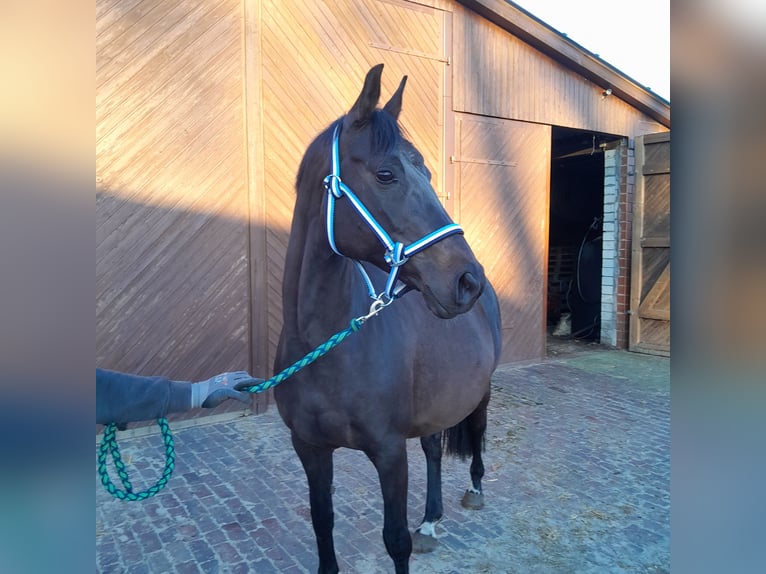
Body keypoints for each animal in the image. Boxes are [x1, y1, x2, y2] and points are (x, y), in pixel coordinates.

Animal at [274, 63, 502, 574]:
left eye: (428, 172)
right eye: (385, 173)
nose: (468, 281)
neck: (325, 345)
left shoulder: (389, 452)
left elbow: (395, 540)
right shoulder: (310, 449)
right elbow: (322, 523)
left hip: (480, 392)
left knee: (476, 434)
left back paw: (474, 490)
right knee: (434, 448)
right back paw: (431, 522)